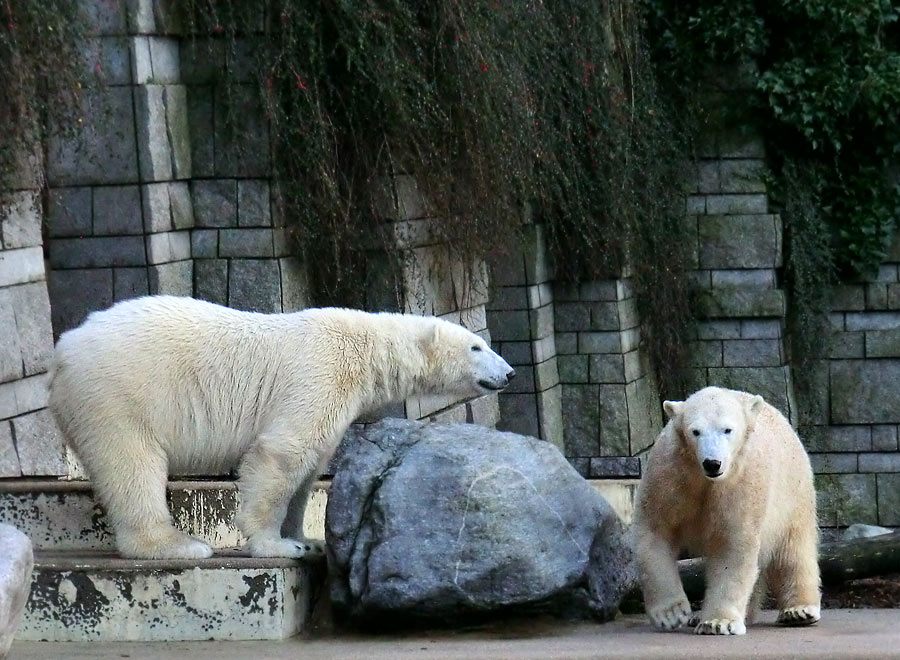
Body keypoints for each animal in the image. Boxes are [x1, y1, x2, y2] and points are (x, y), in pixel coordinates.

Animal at [49, 296, 512, 560]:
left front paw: (309, 539)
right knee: (133, 466)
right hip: (118, 395)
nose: (508, 373)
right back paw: (177, 545)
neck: (366, 347)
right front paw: (278, 545)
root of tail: (62, 353)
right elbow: (285, 452)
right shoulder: (321, 373)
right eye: (477, 346)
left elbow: (312, 467)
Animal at [628, 386, 820, 636]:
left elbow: (733, 543)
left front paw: (718, 622)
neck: (704, 479)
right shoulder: (670, 476)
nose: (712, 463)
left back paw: (799, 610)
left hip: (792, 492)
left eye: (727, 430)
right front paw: (671, 614)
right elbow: (655, 531)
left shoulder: (740, 484)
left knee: (793, 550)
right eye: (695, 431)